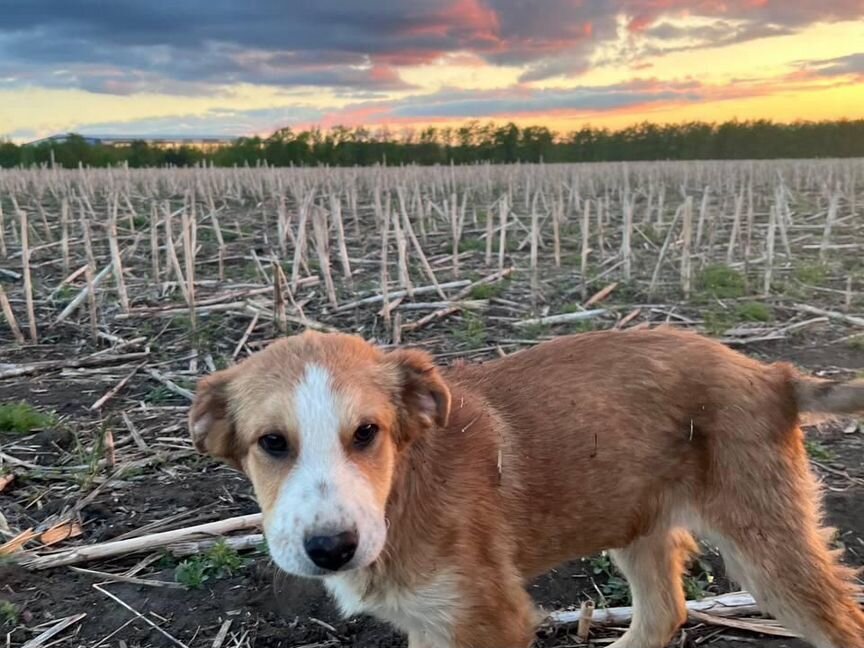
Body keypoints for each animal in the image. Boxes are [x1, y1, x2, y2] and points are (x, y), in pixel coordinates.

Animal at [189, 330, 864, 648]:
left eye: (367, 433)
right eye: (272, 443)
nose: (331, 549)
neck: (402, 494)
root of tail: (773, 375)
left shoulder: (493, 617)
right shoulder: (431, 623)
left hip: (767, 542)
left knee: (841, 620)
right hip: (632, 516)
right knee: (663, 613)